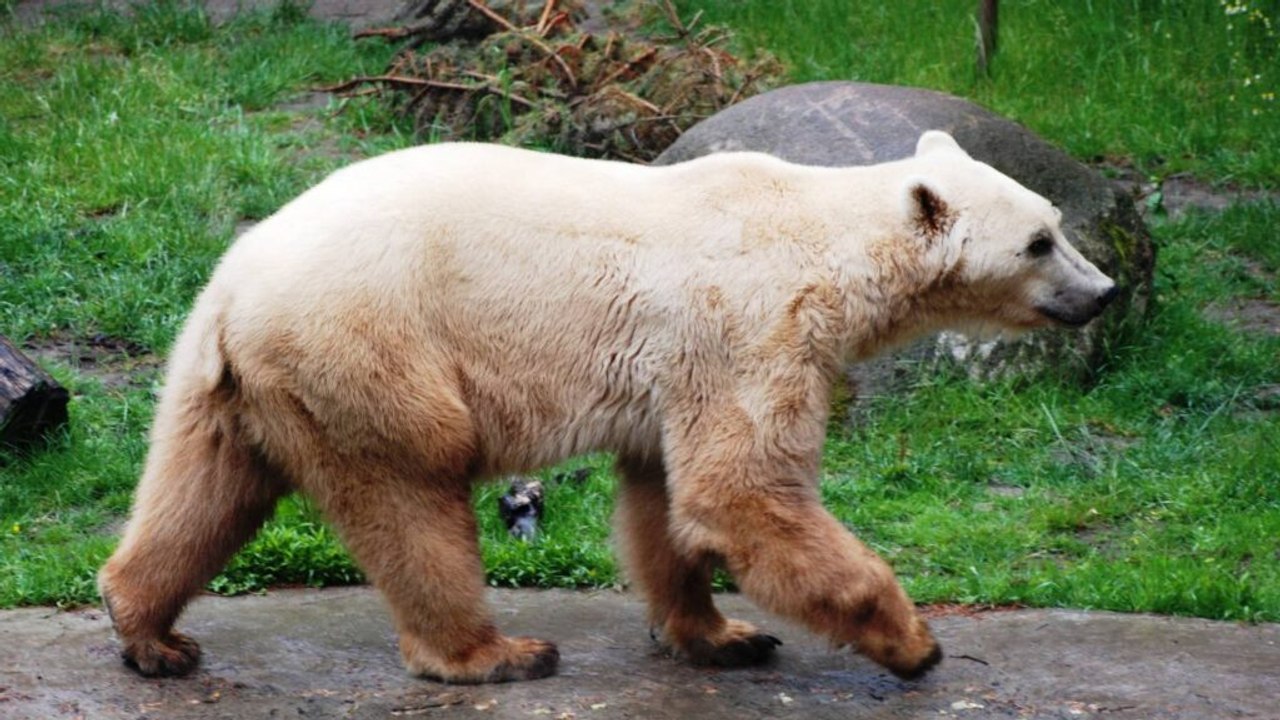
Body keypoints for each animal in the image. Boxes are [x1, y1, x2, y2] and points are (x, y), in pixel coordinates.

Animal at [98, 130, 1117, 684]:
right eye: (1039, 241)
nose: (1102, 292)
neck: (818, 234)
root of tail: (234, 290)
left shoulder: (680, 365)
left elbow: (665, 499)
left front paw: (723, 634)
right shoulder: (749, 324)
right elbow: (742, 491)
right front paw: (914, 644)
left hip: (234, 380)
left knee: (204, 486)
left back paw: (147, 627)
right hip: (368, 347)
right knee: (412, 490)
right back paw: (495, 653)